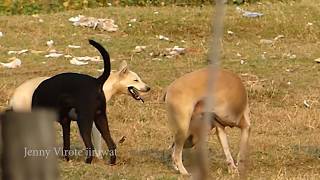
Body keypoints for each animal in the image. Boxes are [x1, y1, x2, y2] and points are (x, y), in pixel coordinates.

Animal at [9, 61, 150, 158]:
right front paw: (98, 158)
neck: (103, 86)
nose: (148, 88)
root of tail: (14, 96)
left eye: (139, 79)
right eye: (136, 80)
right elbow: (97, 140)